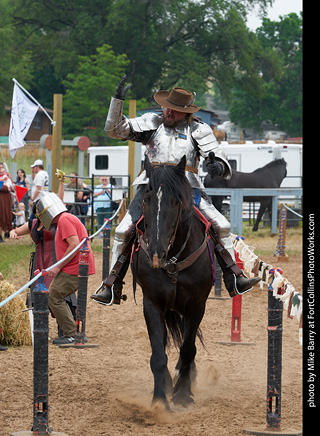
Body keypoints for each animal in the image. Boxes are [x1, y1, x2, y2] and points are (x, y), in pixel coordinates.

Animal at [132, 156, 215, 408]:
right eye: (146, 200)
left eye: (176, 201)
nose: (156, 253)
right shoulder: (152, 305)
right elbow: (158, 353)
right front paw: (160, 399)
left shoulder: (197, 306)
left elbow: (188, 349)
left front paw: (182, 394)